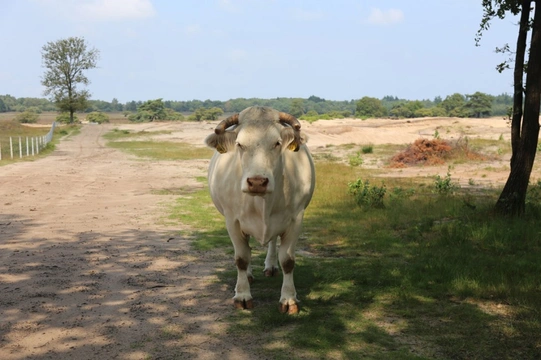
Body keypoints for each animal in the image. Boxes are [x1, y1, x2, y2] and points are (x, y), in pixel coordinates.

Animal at [204, 105, 314, 314]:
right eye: (239, 144)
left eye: (277, 143)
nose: (257, 182)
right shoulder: (232, 221)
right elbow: (241, 258)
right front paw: (242, 295)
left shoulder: (296, 219)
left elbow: (288, 260)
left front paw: (288, 299)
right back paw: (247, 276)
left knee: (272, 243)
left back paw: (270, 266)